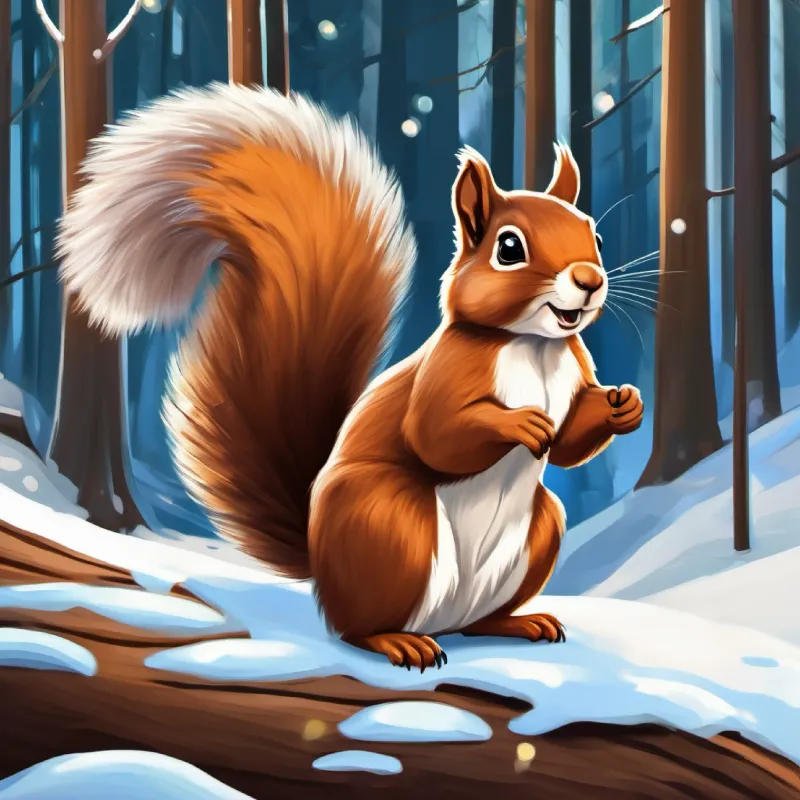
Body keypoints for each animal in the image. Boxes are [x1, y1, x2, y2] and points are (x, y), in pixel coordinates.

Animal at [56, 83, 644, 671]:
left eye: (592, 233)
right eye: (509, 248)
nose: (590, 280)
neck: (534, 347)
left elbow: (567, 447)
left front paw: (624, 404)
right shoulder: (446, 374)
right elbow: (435, 436)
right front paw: (519, 423)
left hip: (540, 526)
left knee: (476, 621)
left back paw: (519, 621)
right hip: (388, 522)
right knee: (353, 628)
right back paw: (397, 641)